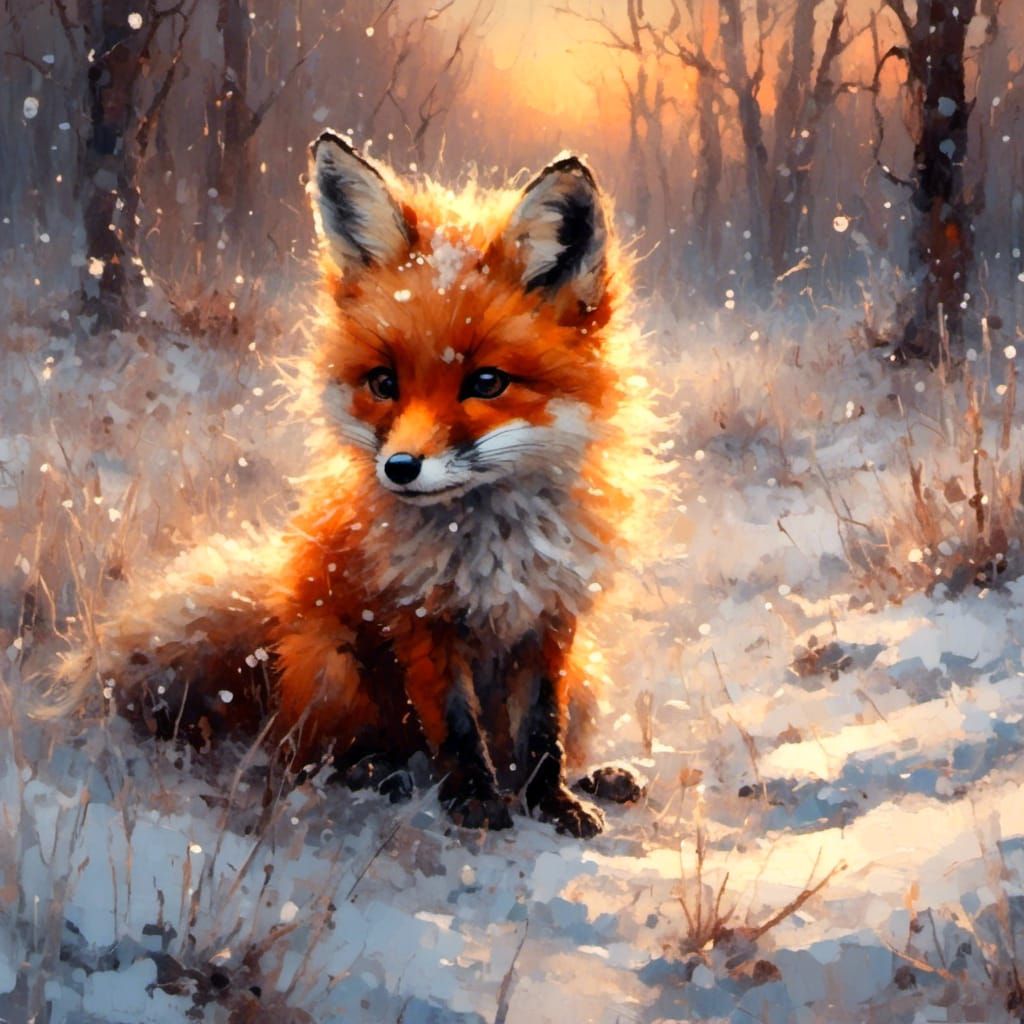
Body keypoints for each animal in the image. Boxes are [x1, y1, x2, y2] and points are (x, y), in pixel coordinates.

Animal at [41, 132, 661, 837]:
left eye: (486, 382)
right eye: (383, 383)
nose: (400, 468)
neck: (489, 547)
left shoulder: (551, 623)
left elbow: (541, 731)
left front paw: (550, 801)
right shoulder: (419, 620)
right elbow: (454, 726)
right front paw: (475, 801)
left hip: (590, 677)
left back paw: (601, 777)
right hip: (331, 668)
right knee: (305, 756)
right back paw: (378, 773)